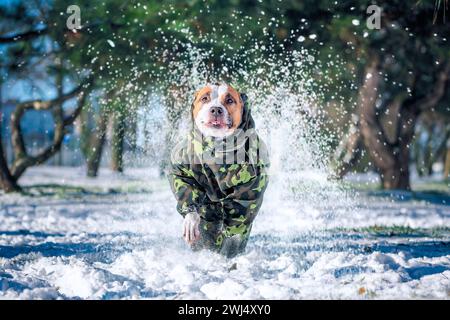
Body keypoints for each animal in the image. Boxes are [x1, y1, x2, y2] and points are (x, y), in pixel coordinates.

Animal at [168, 83, 268, 258]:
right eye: (204, 98)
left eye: (229, 100)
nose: (215, 109)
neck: (216, 146)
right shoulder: (181, 168)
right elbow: (185, 186)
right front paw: (191, 222)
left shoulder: (250, 187)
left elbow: (236, 229)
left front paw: (227, 253)